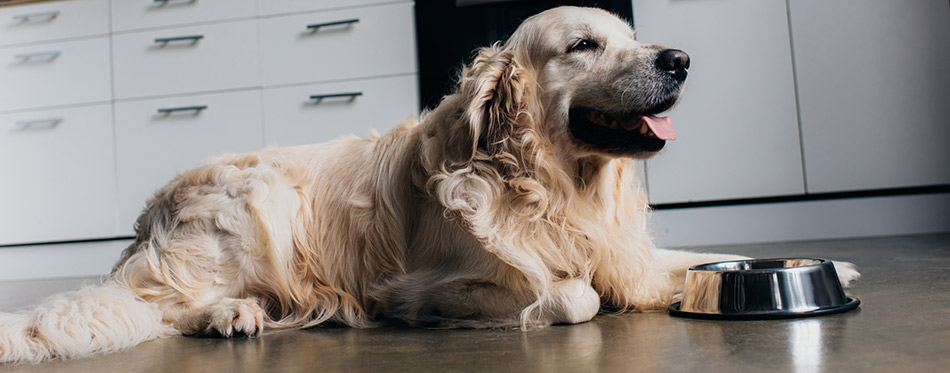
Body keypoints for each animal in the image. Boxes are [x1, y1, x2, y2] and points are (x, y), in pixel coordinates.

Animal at [0, 6, 864, 364]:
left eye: (632, 35)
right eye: (584, 45)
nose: (680, 59)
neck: (544, 180)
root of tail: (152, 212)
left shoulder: (623, 249)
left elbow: (688, 258)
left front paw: (840, 265)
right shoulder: (435, 281)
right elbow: (573, 296)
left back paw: (244, 312)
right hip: (257, 201)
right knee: (158, 304)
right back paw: (229, 313)